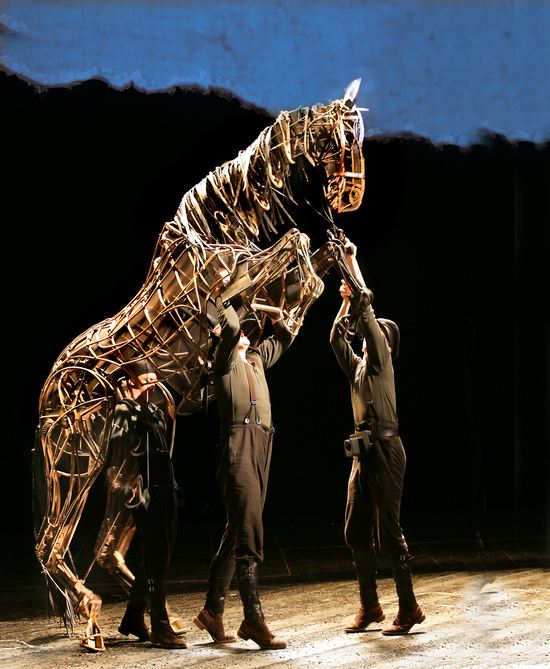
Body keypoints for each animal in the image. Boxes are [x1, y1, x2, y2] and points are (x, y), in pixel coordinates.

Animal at [32, 79, 367, 651]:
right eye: (338, 137)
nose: (352, 194)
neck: (213, 234)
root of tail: (50, 388)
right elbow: (296, 246)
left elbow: (312, 258)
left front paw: (332, 276)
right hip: (77, 461)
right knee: (51, 546)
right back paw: (99, 620)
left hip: (123, 462)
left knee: (107, 549)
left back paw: (150, 620)